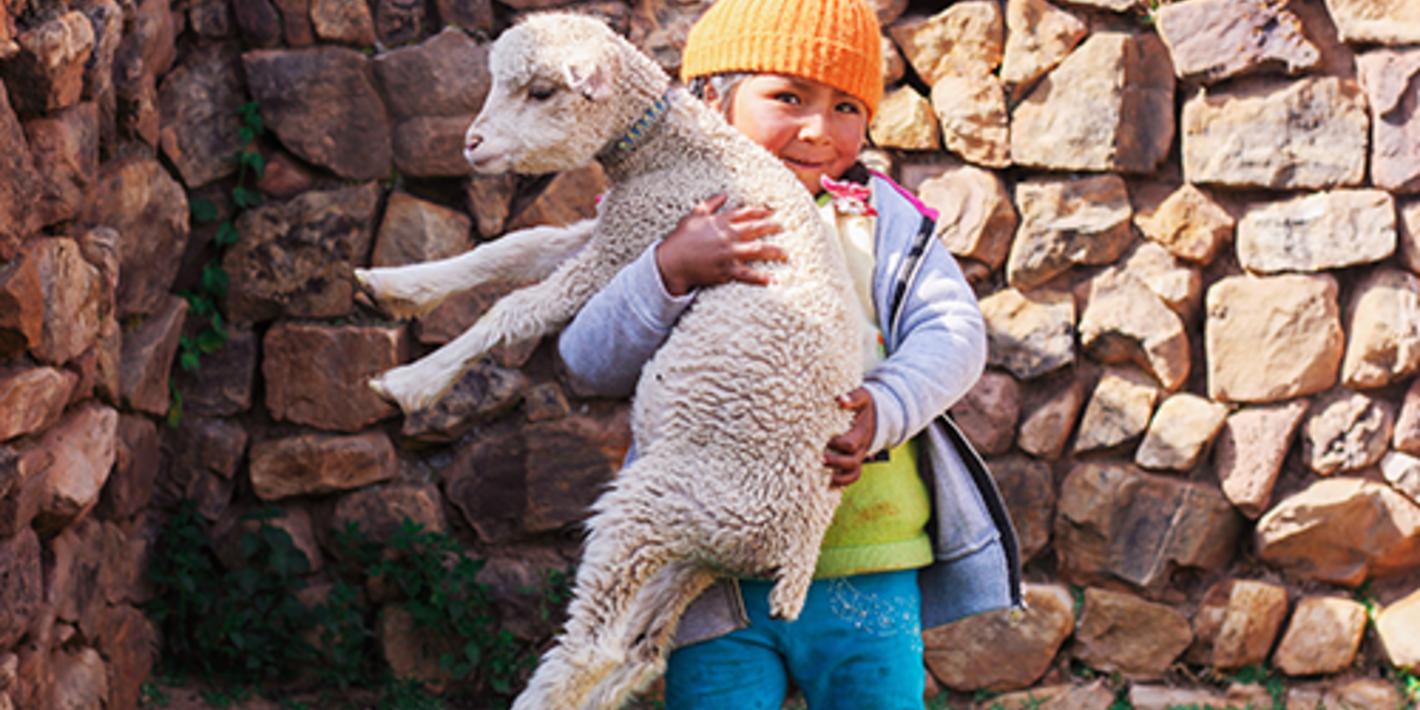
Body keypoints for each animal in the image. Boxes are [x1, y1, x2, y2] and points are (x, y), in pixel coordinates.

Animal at [354, 12, 869, 710]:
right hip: (697, 555)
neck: (674, 150)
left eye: (542, 91)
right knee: (641, 650)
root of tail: (795, 549)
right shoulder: (615, 233)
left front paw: (413, 381)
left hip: (656, 509)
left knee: (596, 644)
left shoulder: (629, 242)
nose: (472, 145)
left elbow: (518, 307)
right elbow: (515, 247)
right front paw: (394, 286)